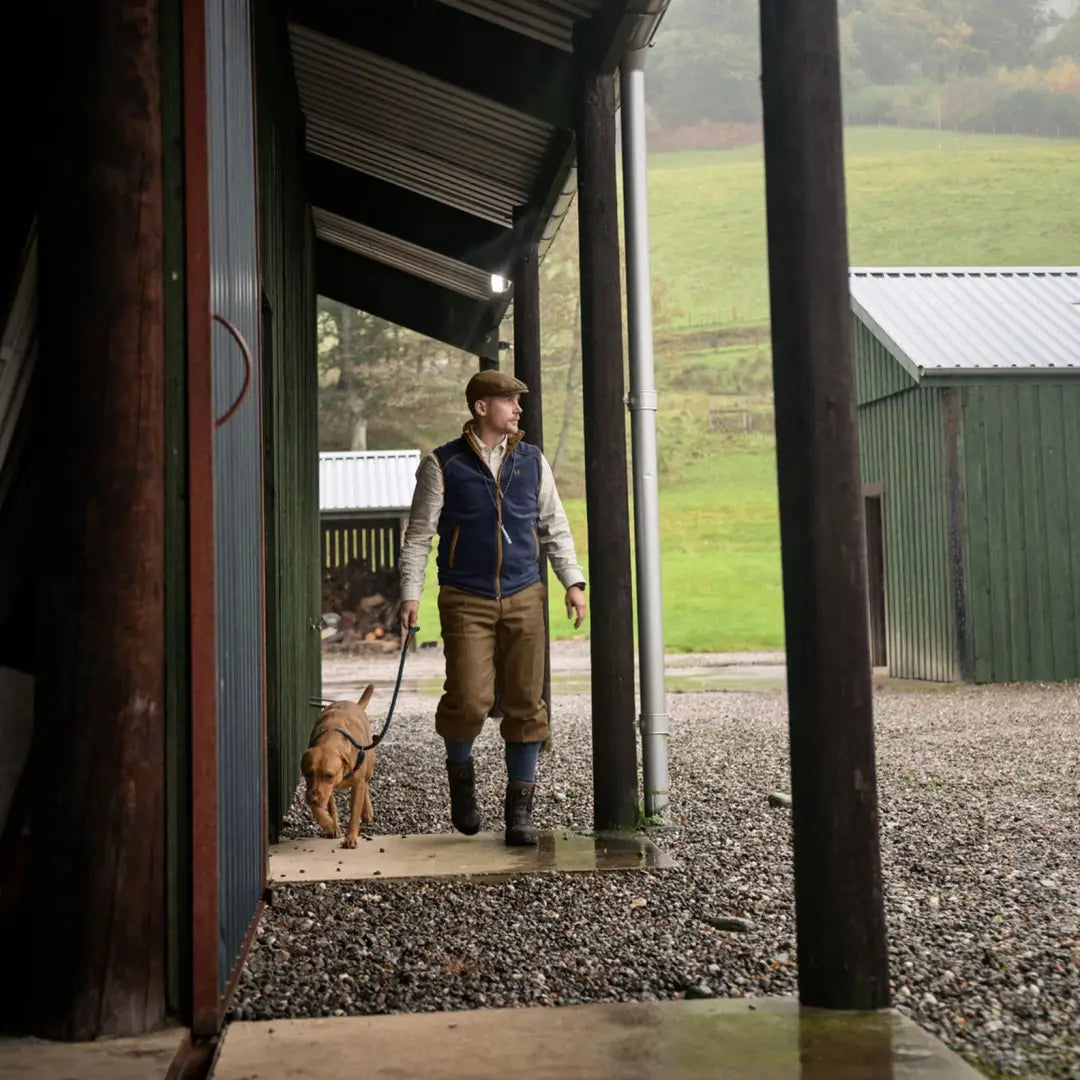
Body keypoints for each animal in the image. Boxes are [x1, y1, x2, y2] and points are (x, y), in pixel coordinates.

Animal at [302, 686, 378, 846]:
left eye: (329, 775)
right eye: (309, 774)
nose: (313, 799)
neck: (330, 737)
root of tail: (356, 704)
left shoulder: (357, 784)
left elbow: (354, 812)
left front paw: (351, 837)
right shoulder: (315, 789)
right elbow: (324, 807)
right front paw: (329, 824)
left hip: (369, 765)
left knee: (366, 784)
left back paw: (367, 810)